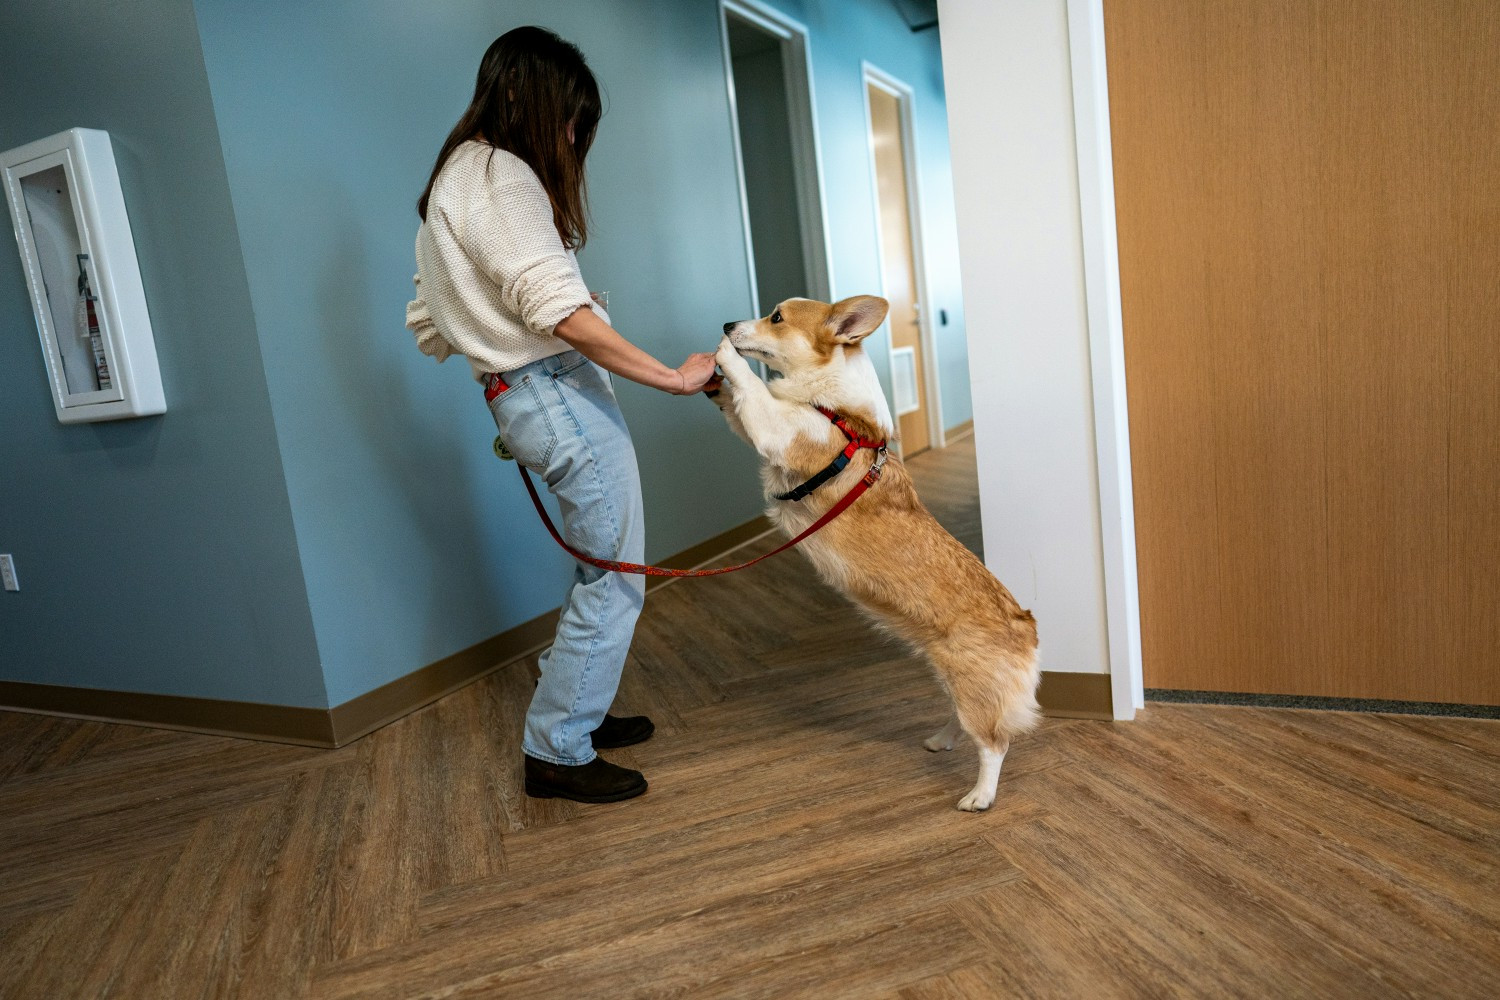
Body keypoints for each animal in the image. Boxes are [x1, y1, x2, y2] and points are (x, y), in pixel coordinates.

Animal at [705, 293, 1038, 809]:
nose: (726, 323)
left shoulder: (782, 431)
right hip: (953, 681)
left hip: (972, 687)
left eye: (776, 317)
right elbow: (742, 406)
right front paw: (716, 386)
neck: (836, 408)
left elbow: (755, 393)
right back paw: (940, 739)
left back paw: (979, 796)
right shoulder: (769, 430)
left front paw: (725, 356)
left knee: (993, 743)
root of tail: (1027, 627)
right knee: (963, 724)